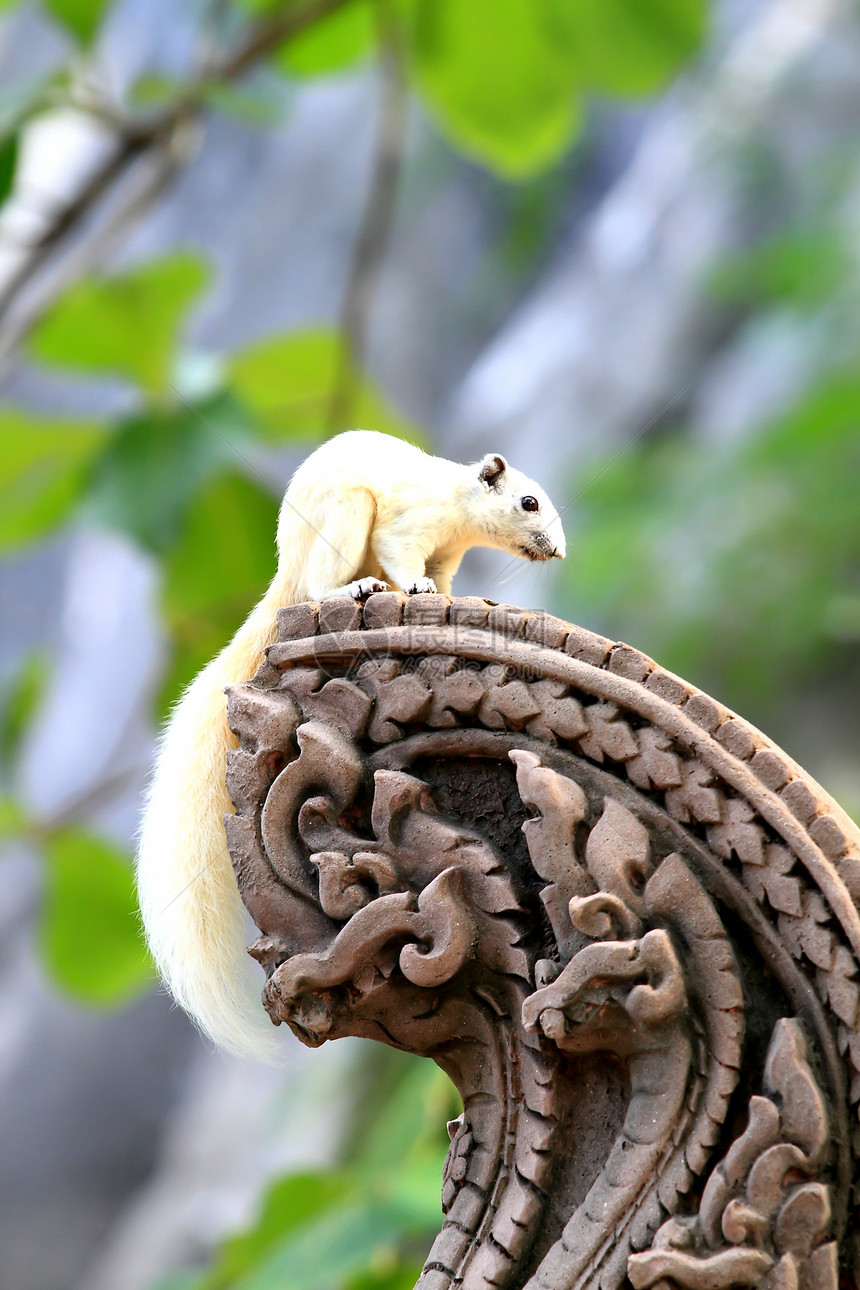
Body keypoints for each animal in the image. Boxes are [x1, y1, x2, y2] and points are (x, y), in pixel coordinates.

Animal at [136, 433, 564, 1057]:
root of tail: (285, 573)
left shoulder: (446, 554)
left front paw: (453, 598)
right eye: (529, 502)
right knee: (323, 585)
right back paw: (360, 587)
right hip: (345, 518)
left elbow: (444, 581)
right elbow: (404, 557)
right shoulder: (407, 526)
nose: (557, 551)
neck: (457, 509)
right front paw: (417, 589)